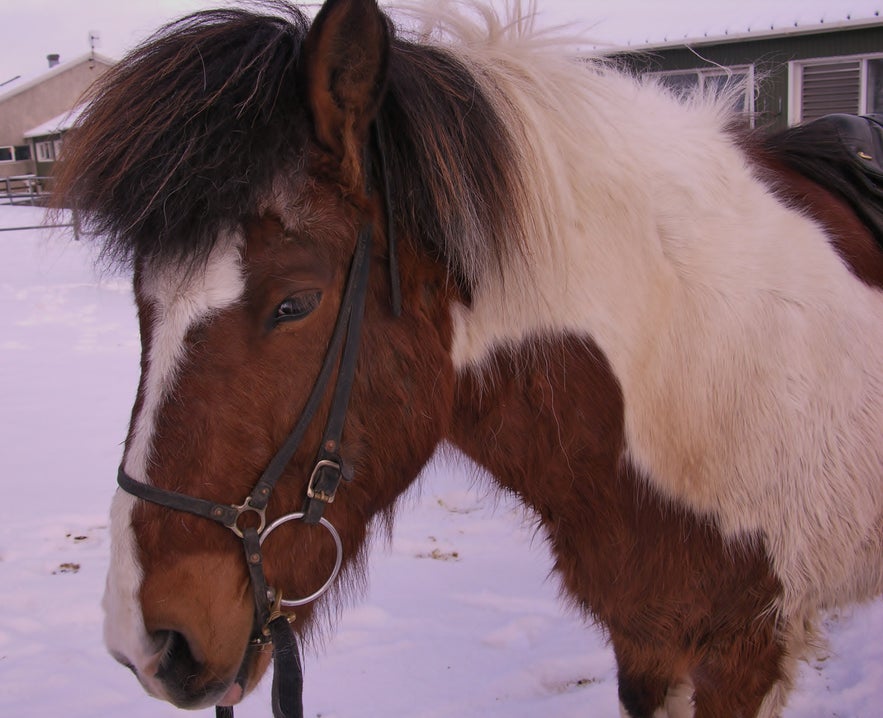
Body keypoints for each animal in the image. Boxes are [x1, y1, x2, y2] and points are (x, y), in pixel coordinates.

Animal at [57, 1, 883, 718]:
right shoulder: (647, 640)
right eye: (143, 302)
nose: (148, 642)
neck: (693, 363)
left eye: (295, 302)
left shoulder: (745, 647)